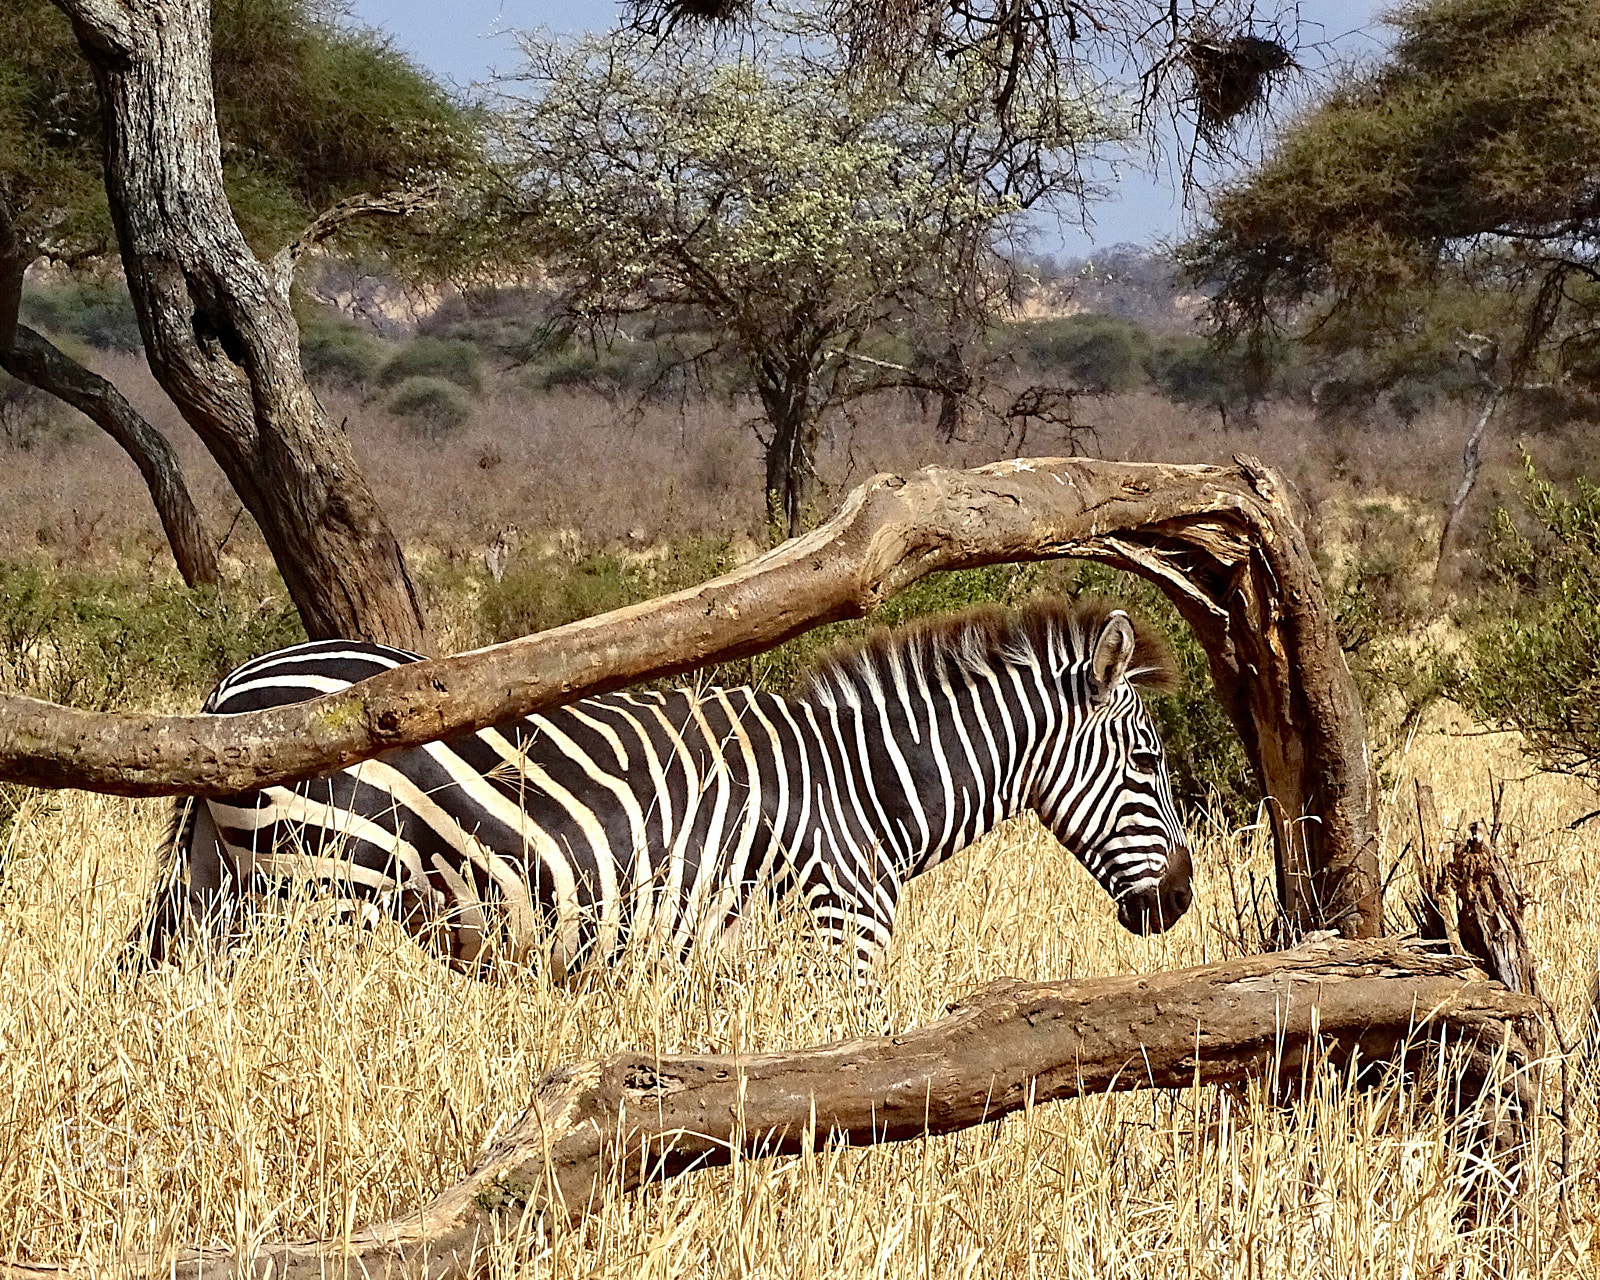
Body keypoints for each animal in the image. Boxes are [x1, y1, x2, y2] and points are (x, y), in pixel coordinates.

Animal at [144, 595, 1196, 972]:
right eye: (1149, 761)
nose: (1182, 903)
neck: (868, 789)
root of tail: (233, 689)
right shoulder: (839, 939)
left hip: (227, 895)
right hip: (327, 894)